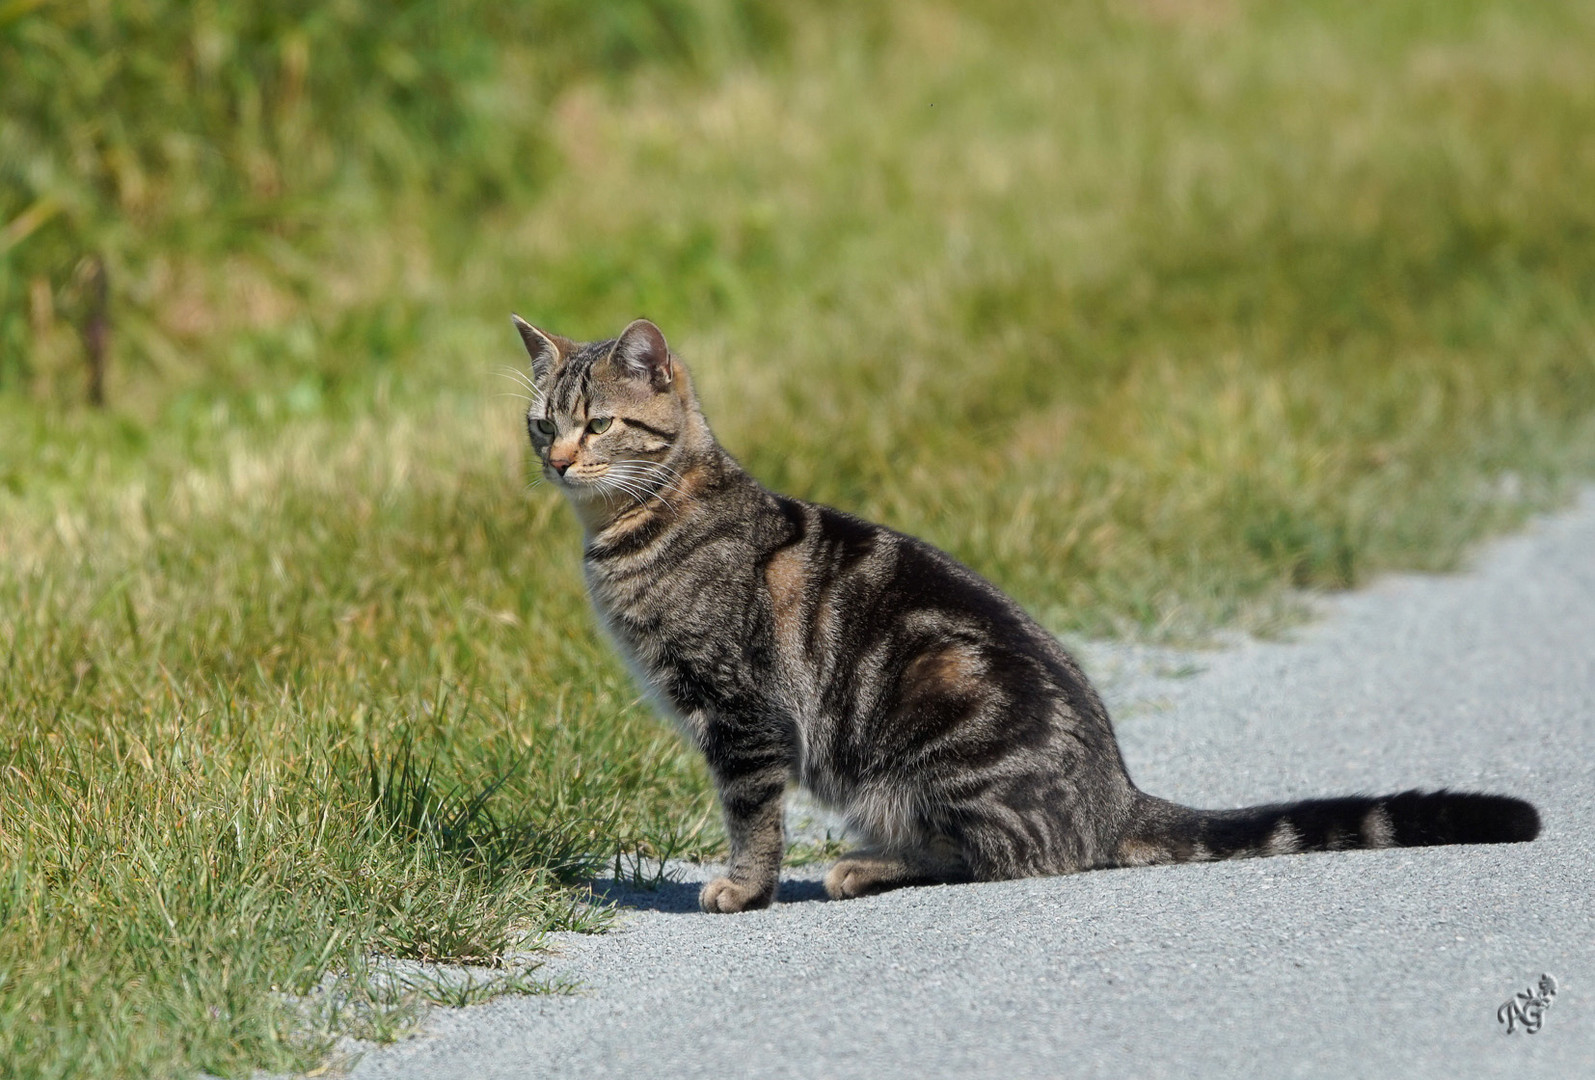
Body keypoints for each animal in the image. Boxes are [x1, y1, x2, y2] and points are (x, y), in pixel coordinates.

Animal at [510, 314, 1531, 912]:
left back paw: (864, 865)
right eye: (540, 422)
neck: (640, 520)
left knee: (990, 855)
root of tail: (1117, 793)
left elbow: (752, 818)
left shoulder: (741, 714)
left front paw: (743, 888)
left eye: (599, 424)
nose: (557, 459)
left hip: (934, 719)